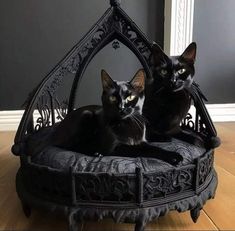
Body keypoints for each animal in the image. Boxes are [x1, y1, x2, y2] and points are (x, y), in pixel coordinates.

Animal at [52, 68, 183, 164]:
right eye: (113, 98)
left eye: (130, 97)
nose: (121, 107)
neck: (128, 123)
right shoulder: (115, 147)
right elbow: (147, 149)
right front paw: (174, 156)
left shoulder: (141, 138)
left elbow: (148, 145)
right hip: (86, 115)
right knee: (72, 145)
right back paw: (96, 152)